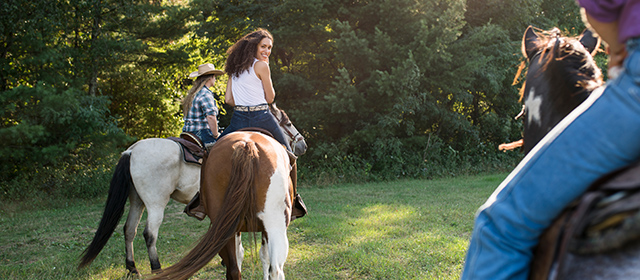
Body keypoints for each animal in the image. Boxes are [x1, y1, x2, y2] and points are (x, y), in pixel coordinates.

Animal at [79, 103, 306, 276]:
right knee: (149, 233)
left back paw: (133, 268)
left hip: (137, 200)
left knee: (129, 230)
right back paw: (156, 268)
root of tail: (132, 150)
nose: (302, 144)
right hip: (155, 202)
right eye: (287, 123)